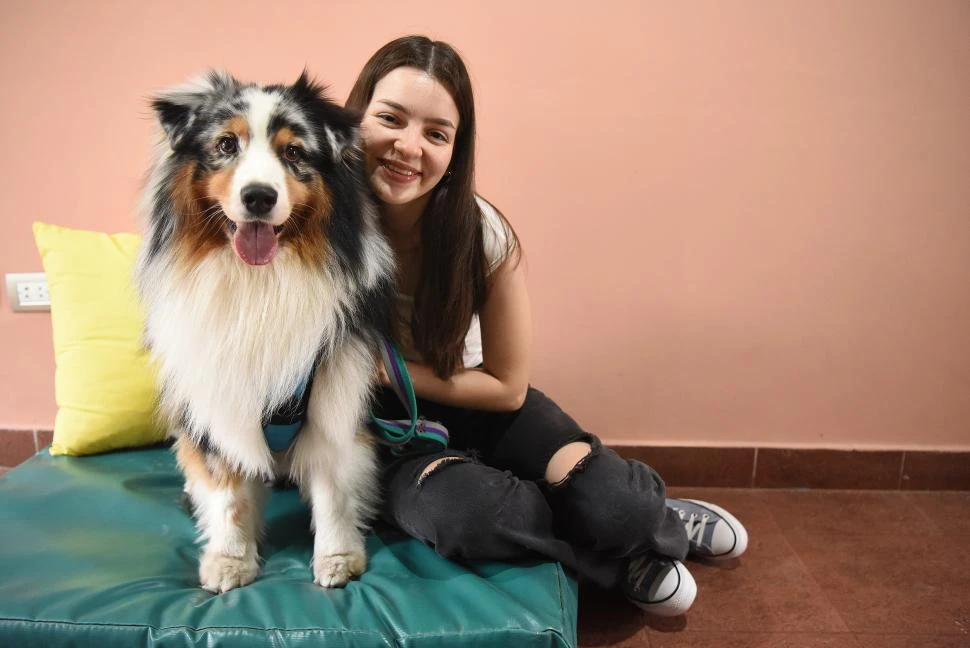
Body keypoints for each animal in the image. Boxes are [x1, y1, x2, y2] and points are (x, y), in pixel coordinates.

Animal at [134, 69, 396, 592]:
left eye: (293, 152)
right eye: (225, 144)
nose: (259, 196)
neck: (261, 284)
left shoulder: (335, 385)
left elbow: (334, 482)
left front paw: (337, 557)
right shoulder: (215, 394)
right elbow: (229, 491)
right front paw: (230, 560)